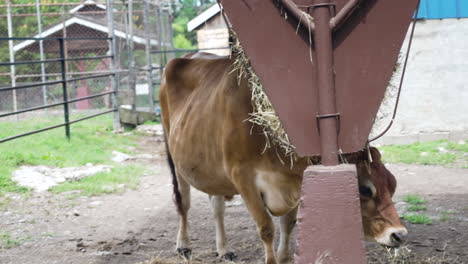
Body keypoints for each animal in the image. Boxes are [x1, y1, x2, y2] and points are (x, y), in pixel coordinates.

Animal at [159, 52, 408, 264]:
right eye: (365, 189)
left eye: (393, 184)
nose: (399, 235)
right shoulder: (243, 178)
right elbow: (266, 227)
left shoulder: (293, 184)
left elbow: (288, 224)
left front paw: (283, 257)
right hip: (176, 160)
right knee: (183, 202)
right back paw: (184, 245)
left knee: (217, 205)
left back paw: (224, 249)